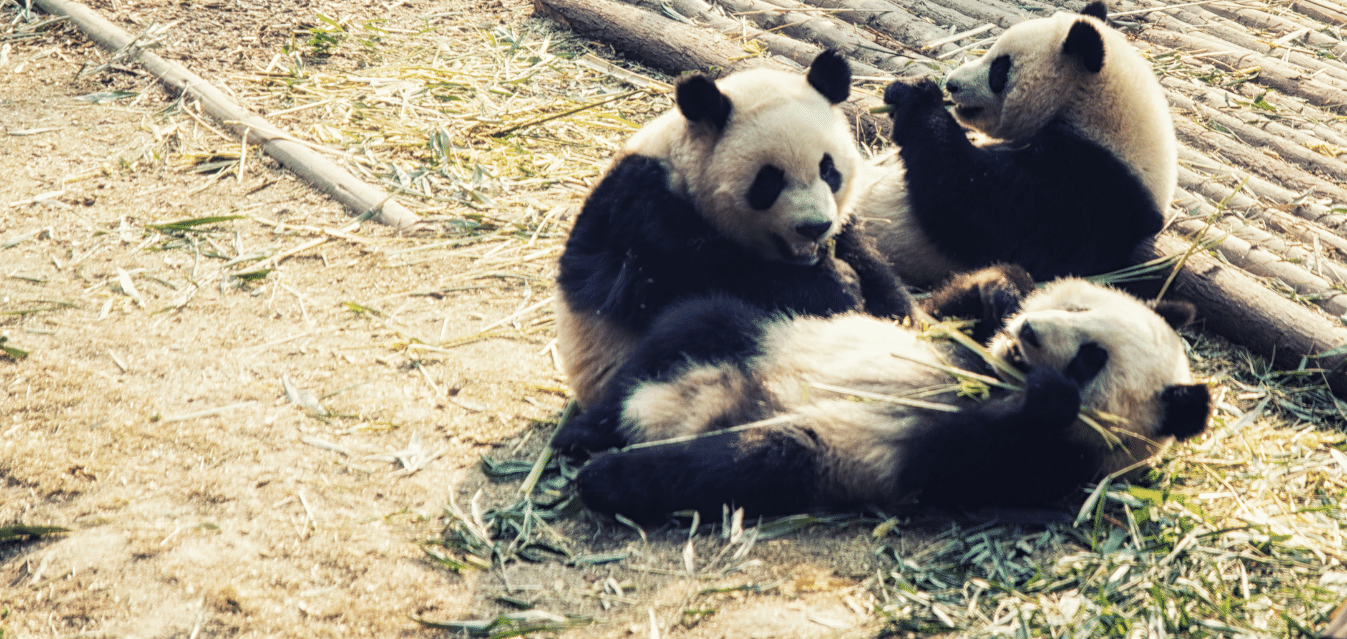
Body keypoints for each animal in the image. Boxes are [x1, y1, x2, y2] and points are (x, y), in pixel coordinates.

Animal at [552, 268, 1210, 523]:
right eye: (1074, 307)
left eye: (1093, 357)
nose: (1027, 332)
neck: (993, 375)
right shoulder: (939, 334)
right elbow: (924, 311)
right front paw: (1002, 291)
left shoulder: (1054, 466)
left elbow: (969, 458)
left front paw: (1049, 395)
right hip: (769, 334)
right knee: (696, 321)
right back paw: (587, 431)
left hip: (823, 450)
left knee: (737, 465)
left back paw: (610, 475)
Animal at [556, 51, 913, 408]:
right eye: (769, 181)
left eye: (828, 170)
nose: (814, 227)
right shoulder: (643, 214)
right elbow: (698, 276)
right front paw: (836, 284)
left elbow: (867, 260)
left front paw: (891, 309)